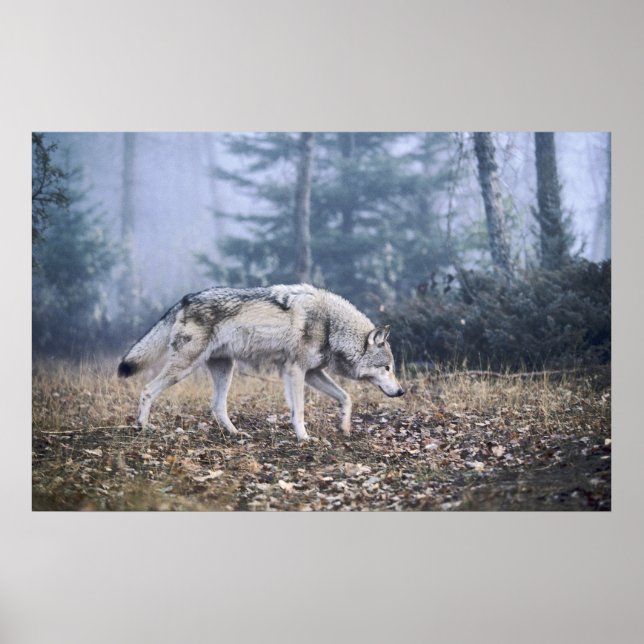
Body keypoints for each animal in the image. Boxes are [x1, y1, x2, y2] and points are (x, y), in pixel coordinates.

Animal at [117, 284, 404, 441]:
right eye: (387, 368)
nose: (402, 391)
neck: (331, 325)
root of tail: (185, 299)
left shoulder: (311, 373)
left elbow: (346, 398)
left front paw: (343, 426)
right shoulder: (296, 370)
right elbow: (300, 411)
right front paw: (304, 438)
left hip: (225, 369)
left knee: (217, 406)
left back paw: (235, 434)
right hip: (185, 368)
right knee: (147, 389)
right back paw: (143, 426)